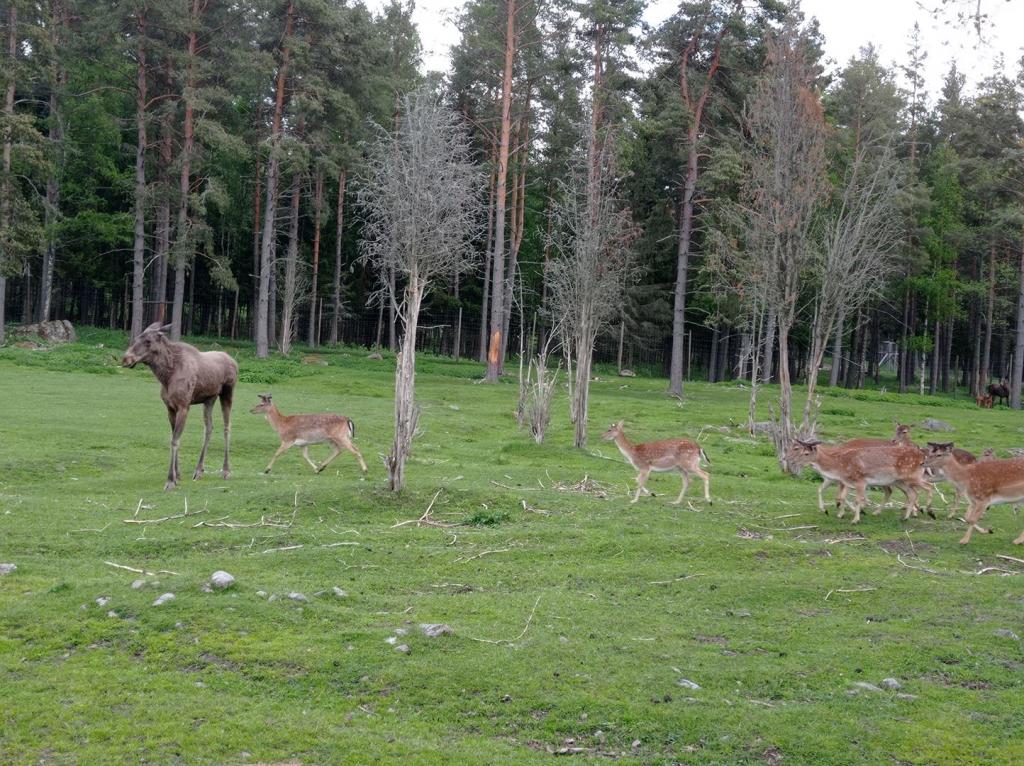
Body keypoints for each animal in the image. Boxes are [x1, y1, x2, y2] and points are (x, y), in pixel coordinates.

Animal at [121, 323, 237, 491]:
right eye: (136, 338)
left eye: (148, 341)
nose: (125, 359)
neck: (166, 376)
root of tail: (234, 362)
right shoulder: (170, 408)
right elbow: (173, 437)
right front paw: (178, 475)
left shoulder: (183, 406)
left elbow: (175, 440)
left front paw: (170, 480)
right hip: (209, 399)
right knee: (209, 427)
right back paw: (199, 470)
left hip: (227, 393)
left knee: (227, 427)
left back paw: (226, 471)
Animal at [782, 440, 937, 524]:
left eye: (805, 453)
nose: (787, 459)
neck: (839, 466)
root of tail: (922, 455)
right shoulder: (847, 482)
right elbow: (841, 496)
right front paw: (838, 513)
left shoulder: (860, 481)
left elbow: (856, 499)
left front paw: (855, 518)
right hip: (900, 481)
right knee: (912, 494)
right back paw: (905, 517)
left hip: (912, 476)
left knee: (928, 486)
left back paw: (929, 512)